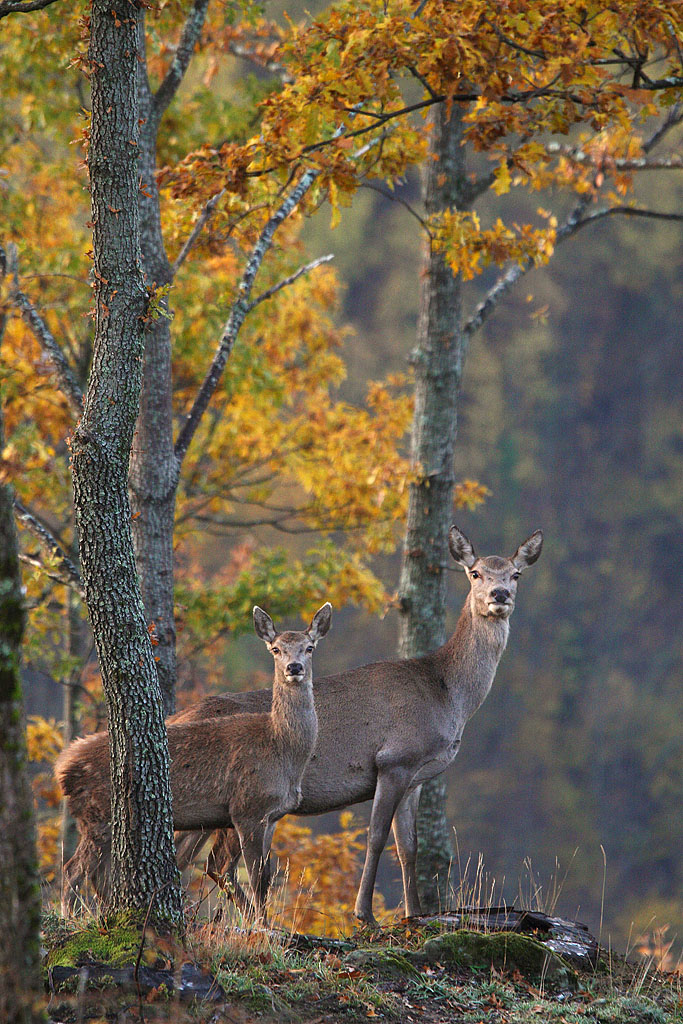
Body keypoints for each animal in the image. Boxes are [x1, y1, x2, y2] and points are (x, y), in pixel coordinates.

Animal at [55, 603, 332, 921]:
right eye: (275, 649)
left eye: (309, 647)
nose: (294, 668)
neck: (282, 748)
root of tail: (62, 766)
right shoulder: (247, 807)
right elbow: (256, 879)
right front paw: (261, 926)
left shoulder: (273, 814)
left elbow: (265, 876)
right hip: (96, 816)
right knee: (72, 871)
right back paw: (70, 918)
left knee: (97, 874)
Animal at [173, 526, 543, 924]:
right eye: (475, 573)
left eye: (516, 574)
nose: (499, 595)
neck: (447, 694)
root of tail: (177, 715)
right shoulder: (394, 758)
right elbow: (377, 837)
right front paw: (364, 913)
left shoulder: (416, 776)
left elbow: (409, 847)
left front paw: (414, 913)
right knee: (214, 862)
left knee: (198, 860)